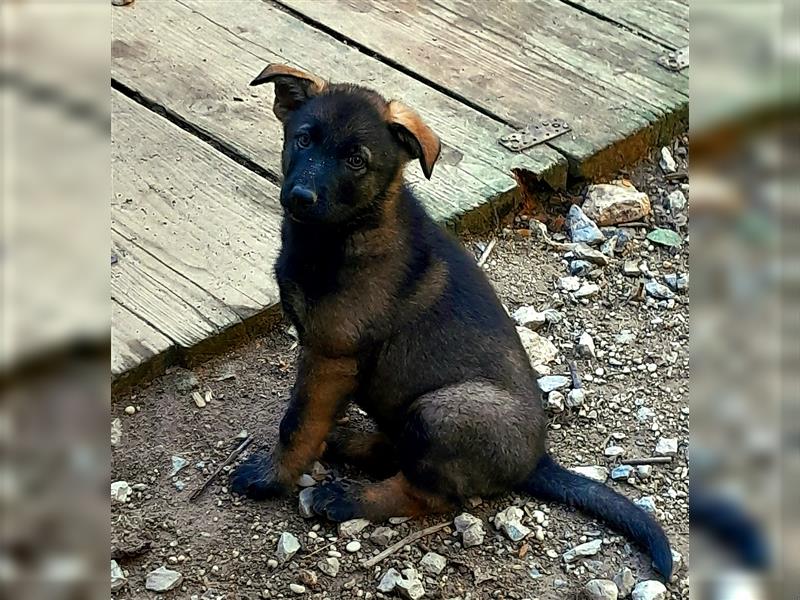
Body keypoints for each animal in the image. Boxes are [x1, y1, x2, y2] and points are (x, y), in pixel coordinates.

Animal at [231, 63, 676, 580]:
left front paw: (271, 477)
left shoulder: (330, 356)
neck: (342, 234)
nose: (301, 197)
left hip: (439, 412)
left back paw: (350, 498)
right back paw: (349, 443)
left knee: (429, 495)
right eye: (302, 139)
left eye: (356, 160)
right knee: (398, 451)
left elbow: (297, 425)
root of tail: (535, 462)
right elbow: (306, 422)